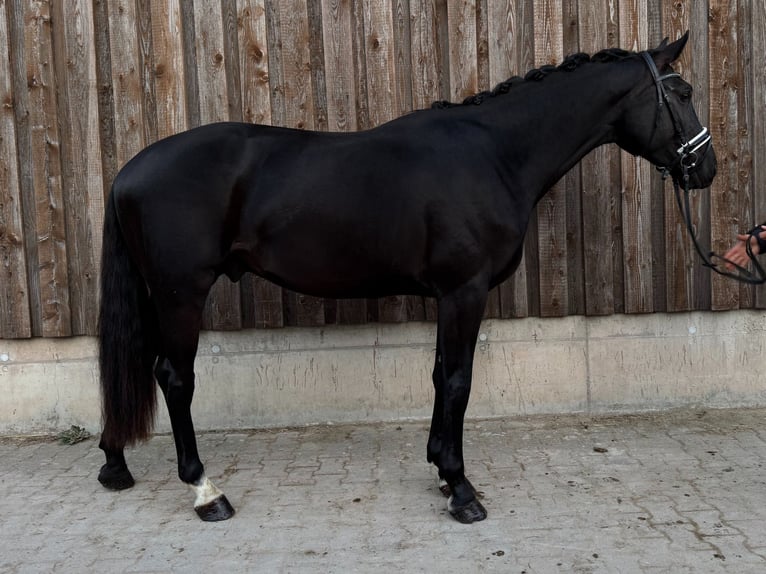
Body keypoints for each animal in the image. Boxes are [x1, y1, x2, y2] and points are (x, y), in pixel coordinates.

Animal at [97, 32, 716, 524]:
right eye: (683, 94)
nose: (706, 168)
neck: (494, 154)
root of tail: (128, 170)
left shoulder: (449, 296)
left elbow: (441, 376)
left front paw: (442, 470)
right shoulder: (464, 291)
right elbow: (459, 381)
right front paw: (462, 490)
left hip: (159, 296)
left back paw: (114, 463)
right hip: (181, 294)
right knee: (175, 378)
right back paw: (207, 492)